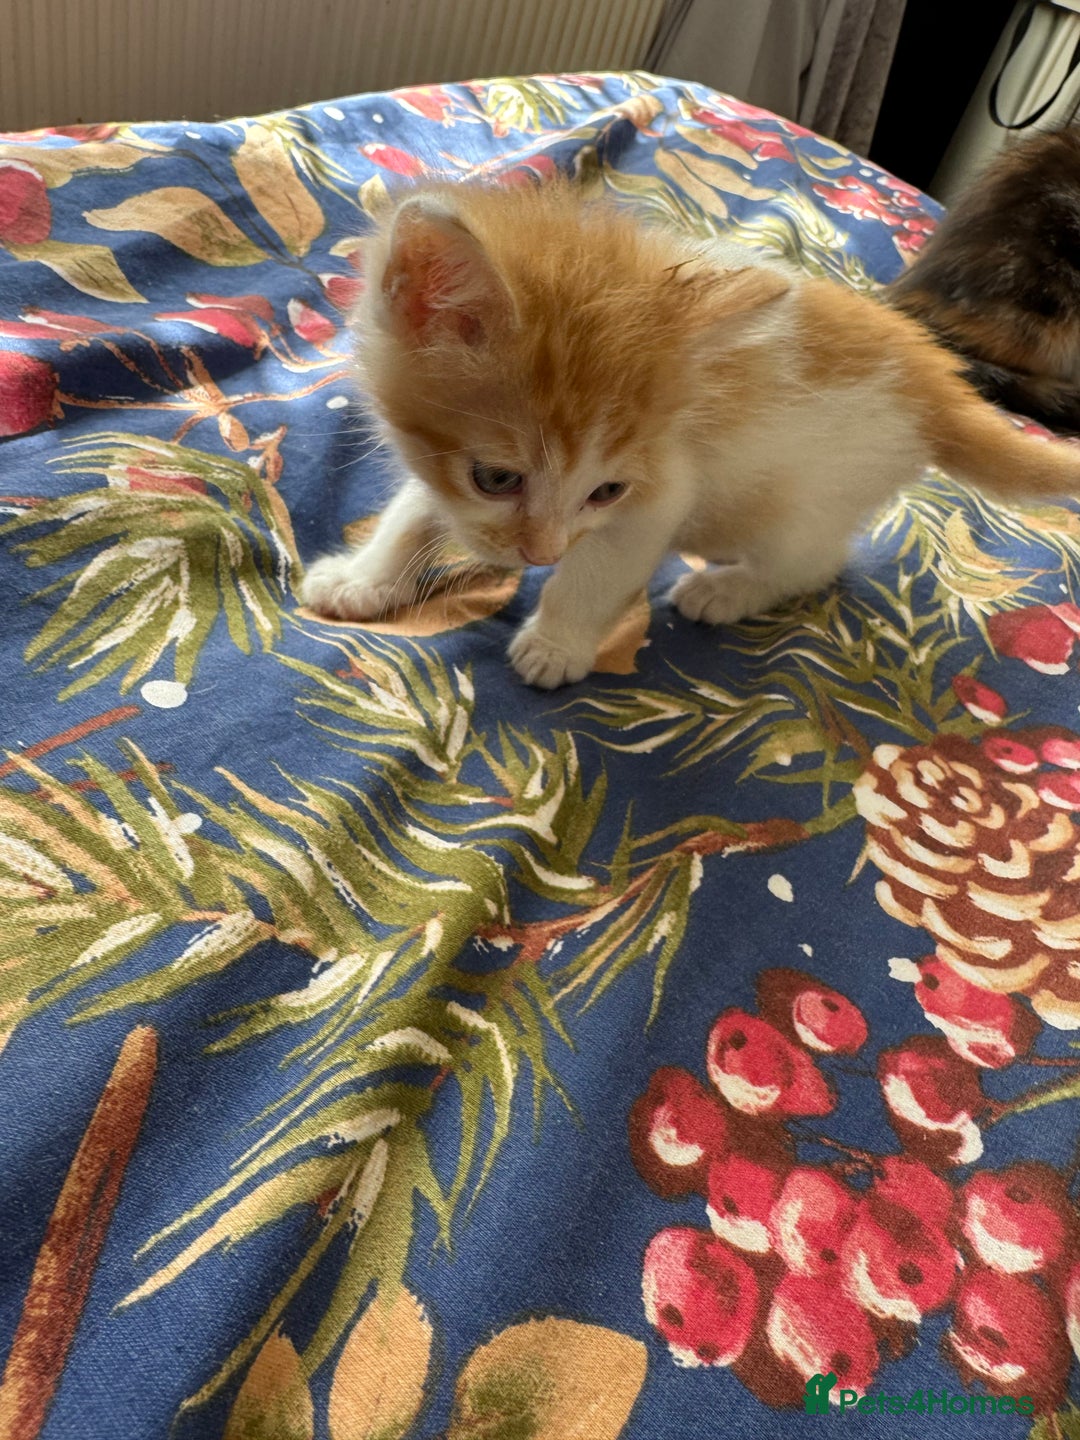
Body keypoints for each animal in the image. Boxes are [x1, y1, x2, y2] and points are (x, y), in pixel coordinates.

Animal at [300, 179, 1080, 688]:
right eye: (496, 478)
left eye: (606, 491)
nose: (539, 553)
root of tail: (938, 382)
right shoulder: (438, 469)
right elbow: (414, 510)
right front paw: (363, 578)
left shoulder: (659, 490)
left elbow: (599, 570)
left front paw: (556, 644)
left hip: (802, 500)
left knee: (814, 561)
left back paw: (726, 591)